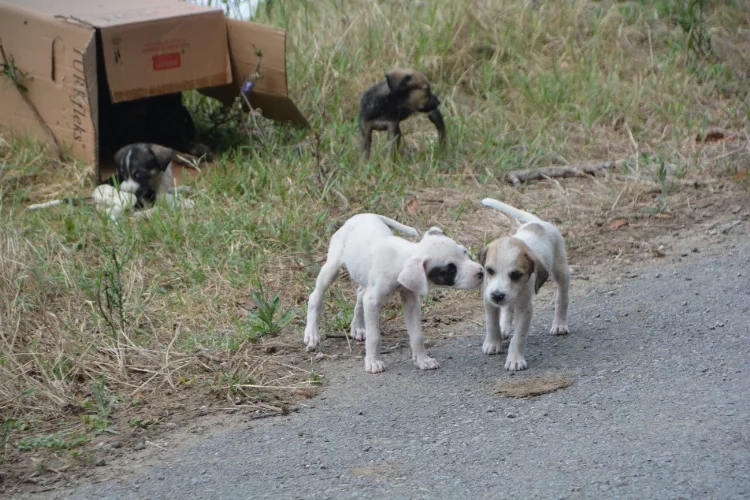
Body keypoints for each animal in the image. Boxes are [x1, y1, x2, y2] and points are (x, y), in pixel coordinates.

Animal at [306, 213, 488, 374]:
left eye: (464, 252)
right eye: (450, 269)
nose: (481, 272)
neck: (401, 258)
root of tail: (361, 215)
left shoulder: (410, 300)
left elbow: (417, 335)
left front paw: (423, 360)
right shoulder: (372, 302)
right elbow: (374, 336)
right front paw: (373, 362)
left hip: (364, 278)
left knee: (359, 294)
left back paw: (357, 327)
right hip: (332, 267)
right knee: (315, 296)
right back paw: (312, 334)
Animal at [482, 198, 568, 372]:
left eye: (516, 275)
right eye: (490, 270)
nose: (497, 295)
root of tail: (539, 222)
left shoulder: (525, 309)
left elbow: (519, 337)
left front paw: (515, 360)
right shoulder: (488, 299)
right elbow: (491, 323)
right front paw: (493, 343)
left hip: (561, 271)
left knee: (562, 298)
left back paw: (559, 324)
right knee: (508, 307)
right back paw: (504, 327)